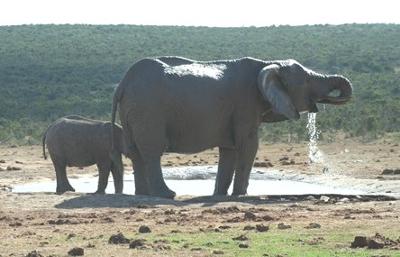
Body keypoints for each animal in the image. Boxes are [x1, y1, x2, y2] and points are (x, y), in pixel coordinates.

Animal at [111, 56, 352, 197]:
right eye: (307, 81)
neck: (267, 63)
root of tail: (122, 84)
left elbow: (229, 151)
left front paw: (220, 195)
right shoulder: (245, 105)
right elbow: (249, 146)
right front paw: (240, 195)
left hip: (132, 111)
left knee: (136, 152)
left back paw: (143, 195)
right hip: (148, 110)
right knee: (152, 151)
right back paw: (166, 195)